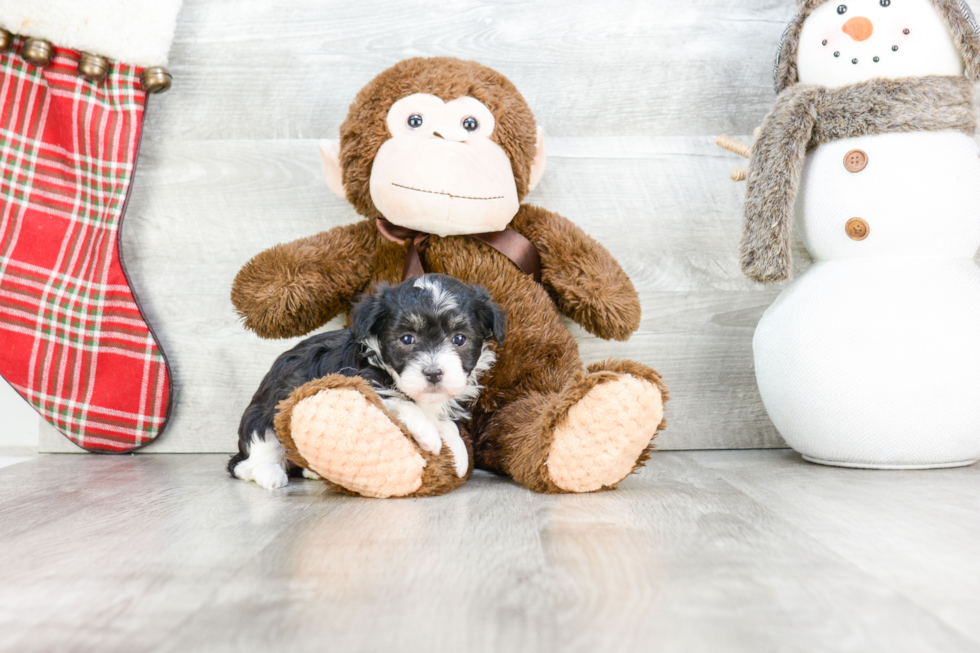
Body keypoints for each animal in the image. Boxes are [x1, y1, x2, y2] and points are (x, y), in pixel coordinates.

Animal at [230, 274, 506, 488]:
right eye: (407, 339)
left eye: (459, 339)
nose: (433, 373)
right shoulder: (360, 379)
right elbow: (403, 402)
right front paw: (429, 434)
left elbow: (445, 421)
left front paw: (459, 454)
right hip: (263, 413)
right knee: (251, 459)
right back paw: (270, 474)